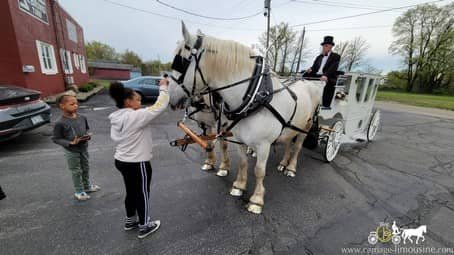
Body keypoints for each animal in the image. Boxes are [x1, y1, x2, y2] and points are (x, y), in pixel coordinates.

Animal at [168, 22, 320, 213]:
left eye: (181, 62)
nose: (171, 100)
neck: (255, 96)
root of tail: (309, 82)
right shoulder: (237, 138)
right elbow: (242, 163)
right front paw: (238, 186)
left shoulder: (263, 145)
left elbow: (259, 170)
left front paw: (256, 200)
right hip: (290, 127)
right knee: (287, 143)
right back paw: (283, 163)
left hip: (305, 127)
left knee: (297, 146)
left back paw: (291, 167)